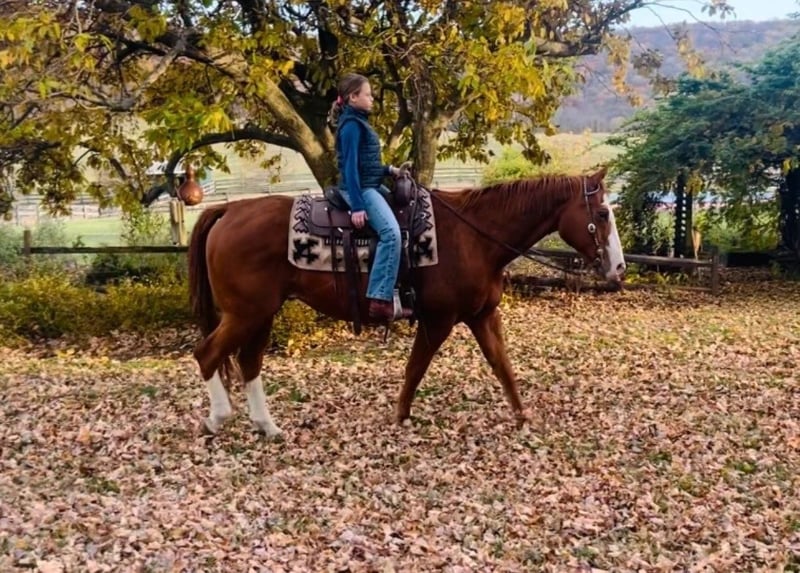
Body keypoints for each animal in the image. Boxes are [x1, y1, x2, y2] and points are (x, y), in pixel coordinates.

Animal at [187, 167, 625, 437]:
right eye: (603, 212)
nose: (618, 267)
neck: (474, 236)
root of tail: (228, 210)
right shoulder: (439, 320)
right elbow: (416, 369)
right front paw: (399, 416)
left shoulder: (482, 316)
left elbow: (503, 367)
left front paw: (522, 417)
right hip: (245, 313)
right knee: (207, 354)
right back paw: (217, 418)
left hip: (260, 314)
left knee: (248, 363)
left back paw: (267, 427)